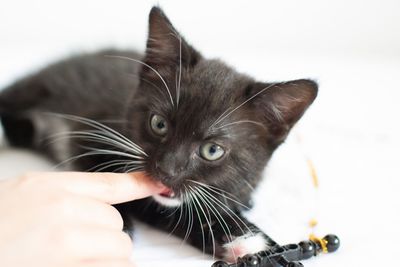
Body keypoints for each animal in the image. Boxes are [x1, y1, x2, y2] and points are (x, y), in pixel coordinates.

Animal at [0, 6, 318, 264]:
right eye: (159, 124)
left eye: (212, 150)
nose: (166, 169)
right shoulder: (90, 132)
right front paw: (120, 223)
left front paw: (246, 239)